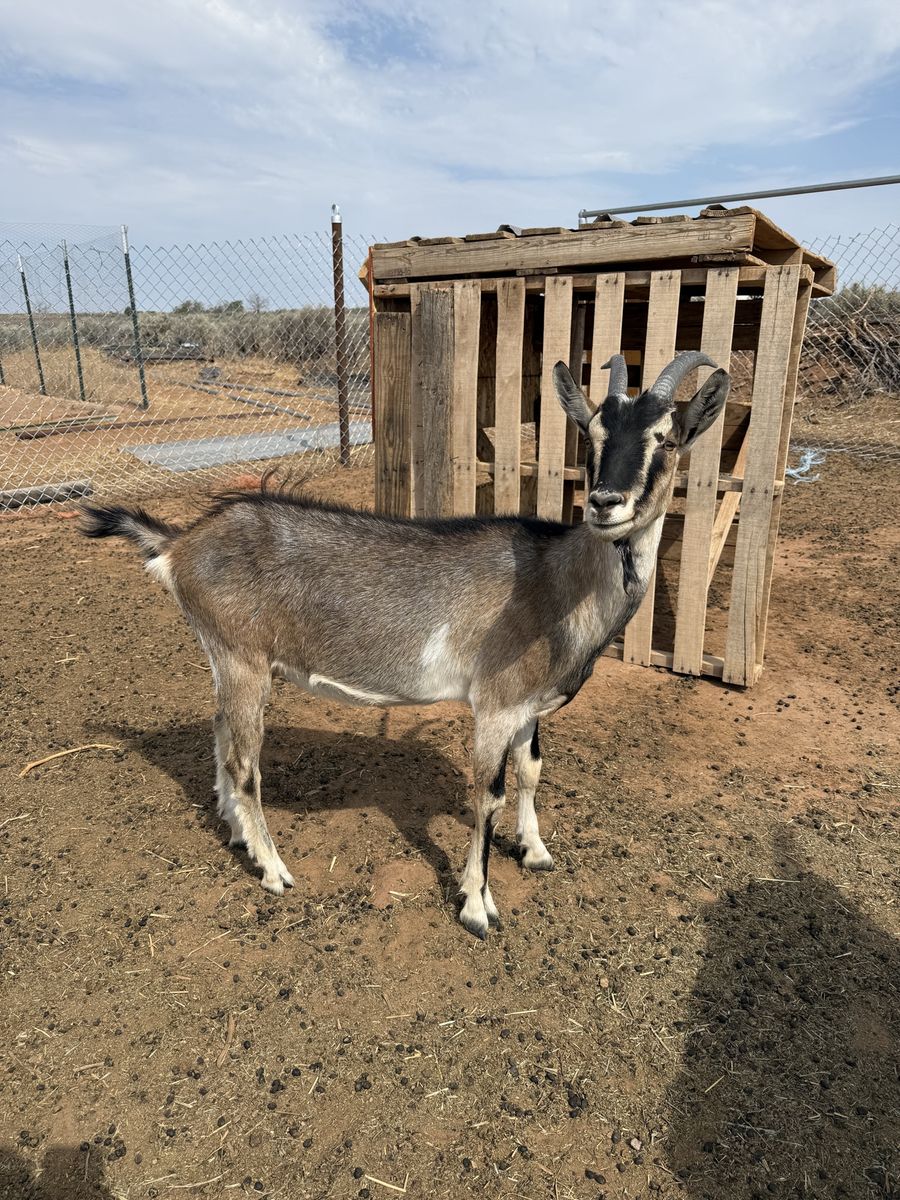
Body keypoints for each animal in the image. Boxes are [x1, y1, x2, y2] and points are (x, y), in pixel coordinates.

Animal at [80, 351, 730, 938]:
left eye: (668, 439)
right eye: (591, 432)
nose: (604, 503)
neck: (554, 579)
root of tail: (179, 545)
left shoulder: (529, 708)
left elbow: (531, 771)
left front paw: (536, 851)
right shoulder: (494, 706)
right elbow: (488, 795)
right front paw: (477, 908)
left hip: (225, 660)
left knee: (219, 732)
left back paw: (237, 831)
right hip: (244, 661)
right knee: (245, 764)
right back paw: (273, 870)